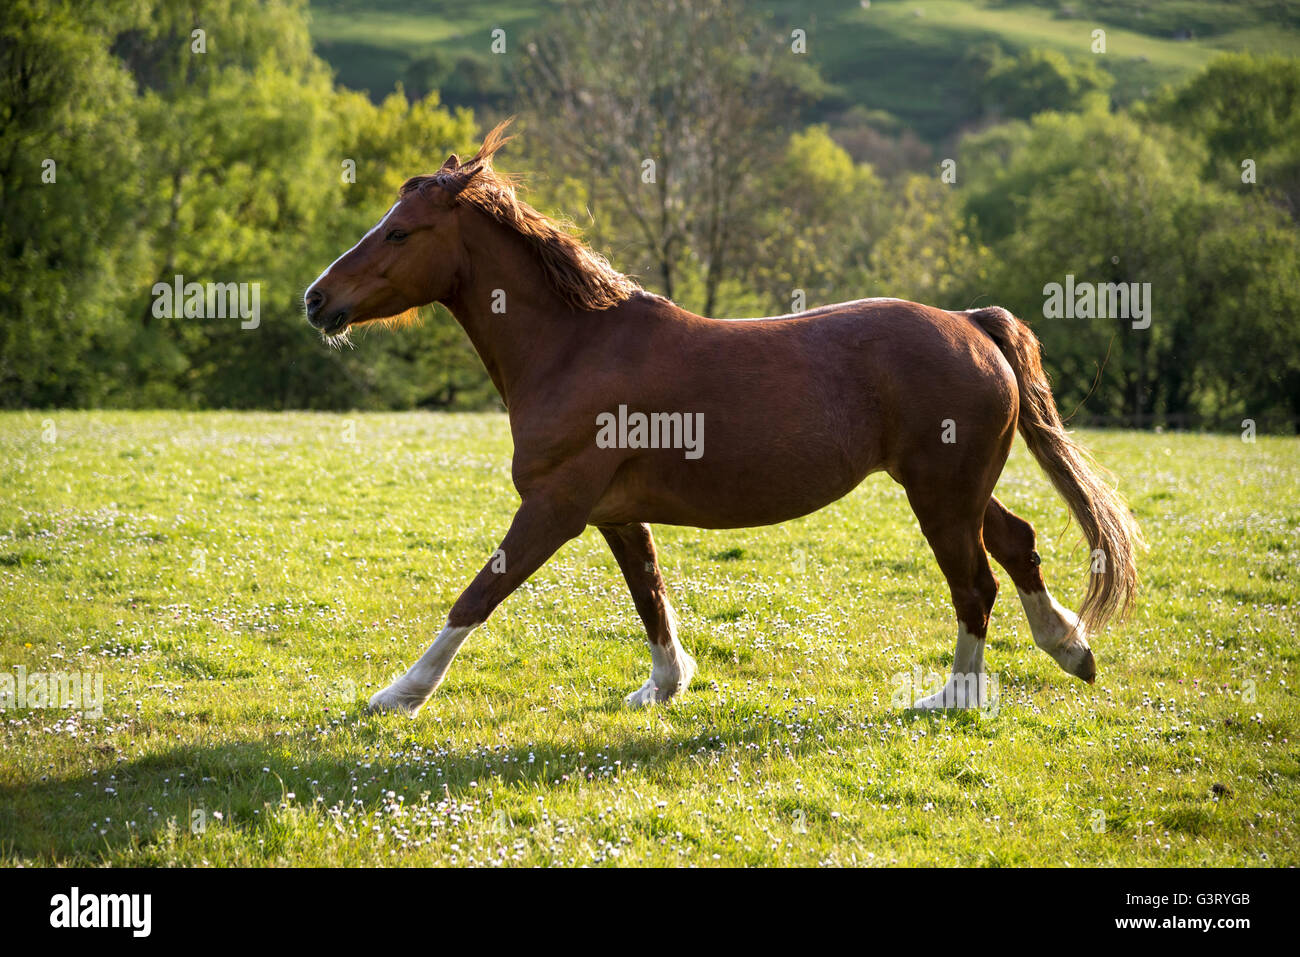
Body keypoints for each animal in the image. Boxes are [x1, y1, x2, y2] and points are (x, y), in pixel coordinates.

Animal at [301, 121, 1138, 717]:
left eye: (399, 230)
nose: (316, 299)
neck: (574, 345)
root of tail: (972, 324)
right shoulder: (612, 512)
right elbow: (649, 593)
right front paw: (665, 684)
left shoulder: (554, 507)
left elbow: (478, 593)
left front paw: (398, 694)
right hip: (953, 489)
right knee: (1017, 542)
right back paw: (1070, 645)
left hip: (940, 496)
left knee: (975, 586)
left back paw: (954, 696)